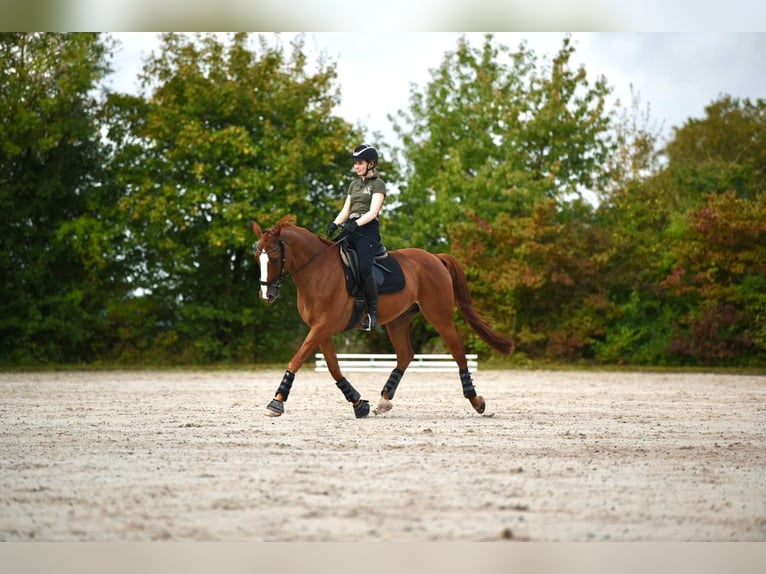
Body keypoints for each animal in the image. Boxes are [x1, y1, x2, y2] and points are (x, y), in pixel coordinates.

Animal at [254, 215, 516, 418]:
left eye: (274, 258)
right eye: (258, 258)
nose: (267, 294)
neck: (317, 271)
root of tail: (435, 258)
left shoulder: (322, 326)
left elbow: (296, 359)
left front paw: (276, 401)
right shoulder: (322, 329)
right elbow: (333, 367)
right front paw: (359, 404)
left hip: (439, 316)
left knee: (458, 352)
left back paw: (476, 400)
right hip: (398, 321)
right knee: (406, 355)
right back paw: (385, 400)